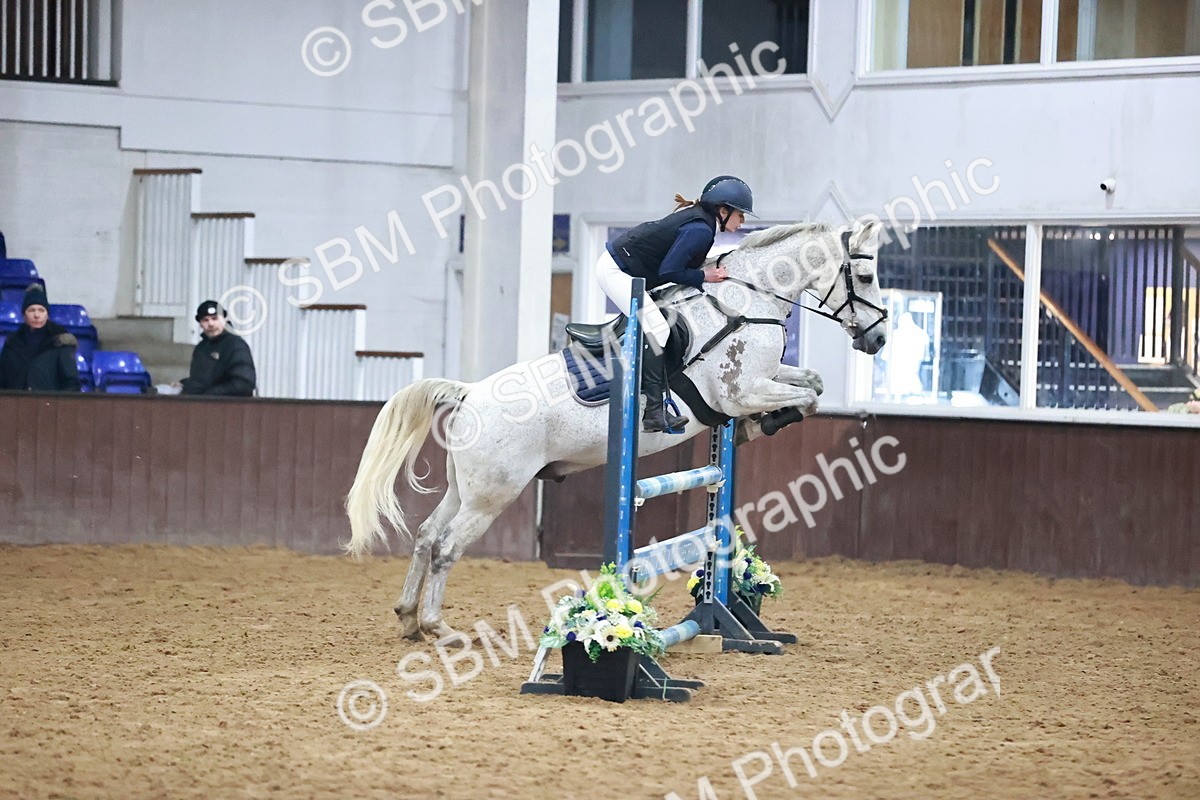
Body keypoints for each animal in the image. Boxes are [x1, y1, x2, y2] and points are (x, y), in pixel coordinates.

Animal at [346, 219, 888, 639]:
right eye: (864, 274)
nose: (879, 338)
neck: (743, 300)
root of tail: (470, 393)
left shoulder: (761, 381)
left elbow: (812, 384)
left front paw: (762, 425)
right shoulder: (741, 391)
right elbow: (806, 398)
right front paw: (766, 424)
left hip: (466, 487)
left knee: (425, 535)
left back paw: (408, 618)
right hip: (492, 494)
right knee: (446, 547)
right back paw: (438, 626)